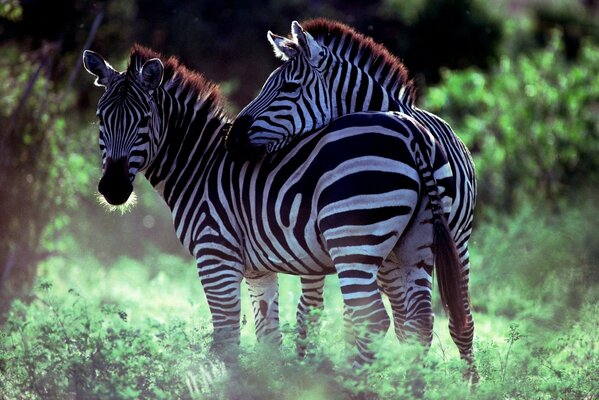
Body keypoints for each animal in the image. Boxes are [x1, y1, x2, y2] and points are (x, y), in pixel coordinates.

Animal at [82, 45, 466, 368]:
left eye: (144, 120)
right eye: (100, 119)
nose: (113, 189)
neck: (200, 166)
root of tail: (410, 131)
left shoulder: (215, 257)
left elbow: (226, 339)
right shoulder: (257, 270)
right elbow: (268, 336)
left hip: (353, 241)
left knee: (372, 318)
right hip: (416, 243)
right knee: (419, 322)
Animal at [225, 18, 478, 376]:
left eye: (289, 88)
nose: (231, 140)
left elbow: (459, 319)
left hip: (448, 242)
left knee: (445, 319)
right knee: (387, 316)